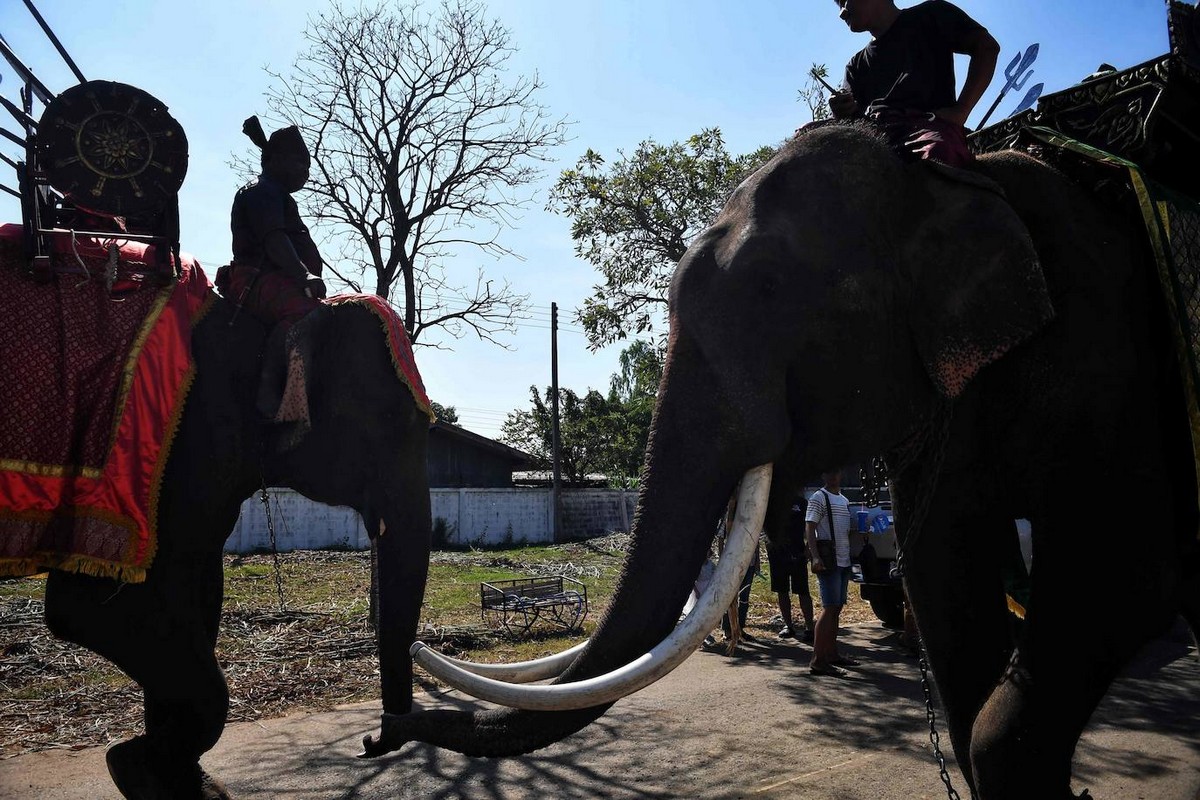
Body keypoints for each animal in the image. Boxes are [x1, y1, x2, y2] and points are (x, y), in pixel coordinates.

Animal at [39, 291, 434, 796]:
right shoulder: (176, 450)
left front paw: (163, 769)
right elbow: (95, 607)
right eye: (392, 419)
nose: (368, 741)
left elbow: (197, 592)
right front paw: (131, 761)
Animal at [362, 120, 1200, 800]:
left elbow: (1131, 577)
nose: (381, 731)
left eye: (770, 291)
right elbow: (942, 573)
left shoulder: (1104, 352)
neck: (947, 182)